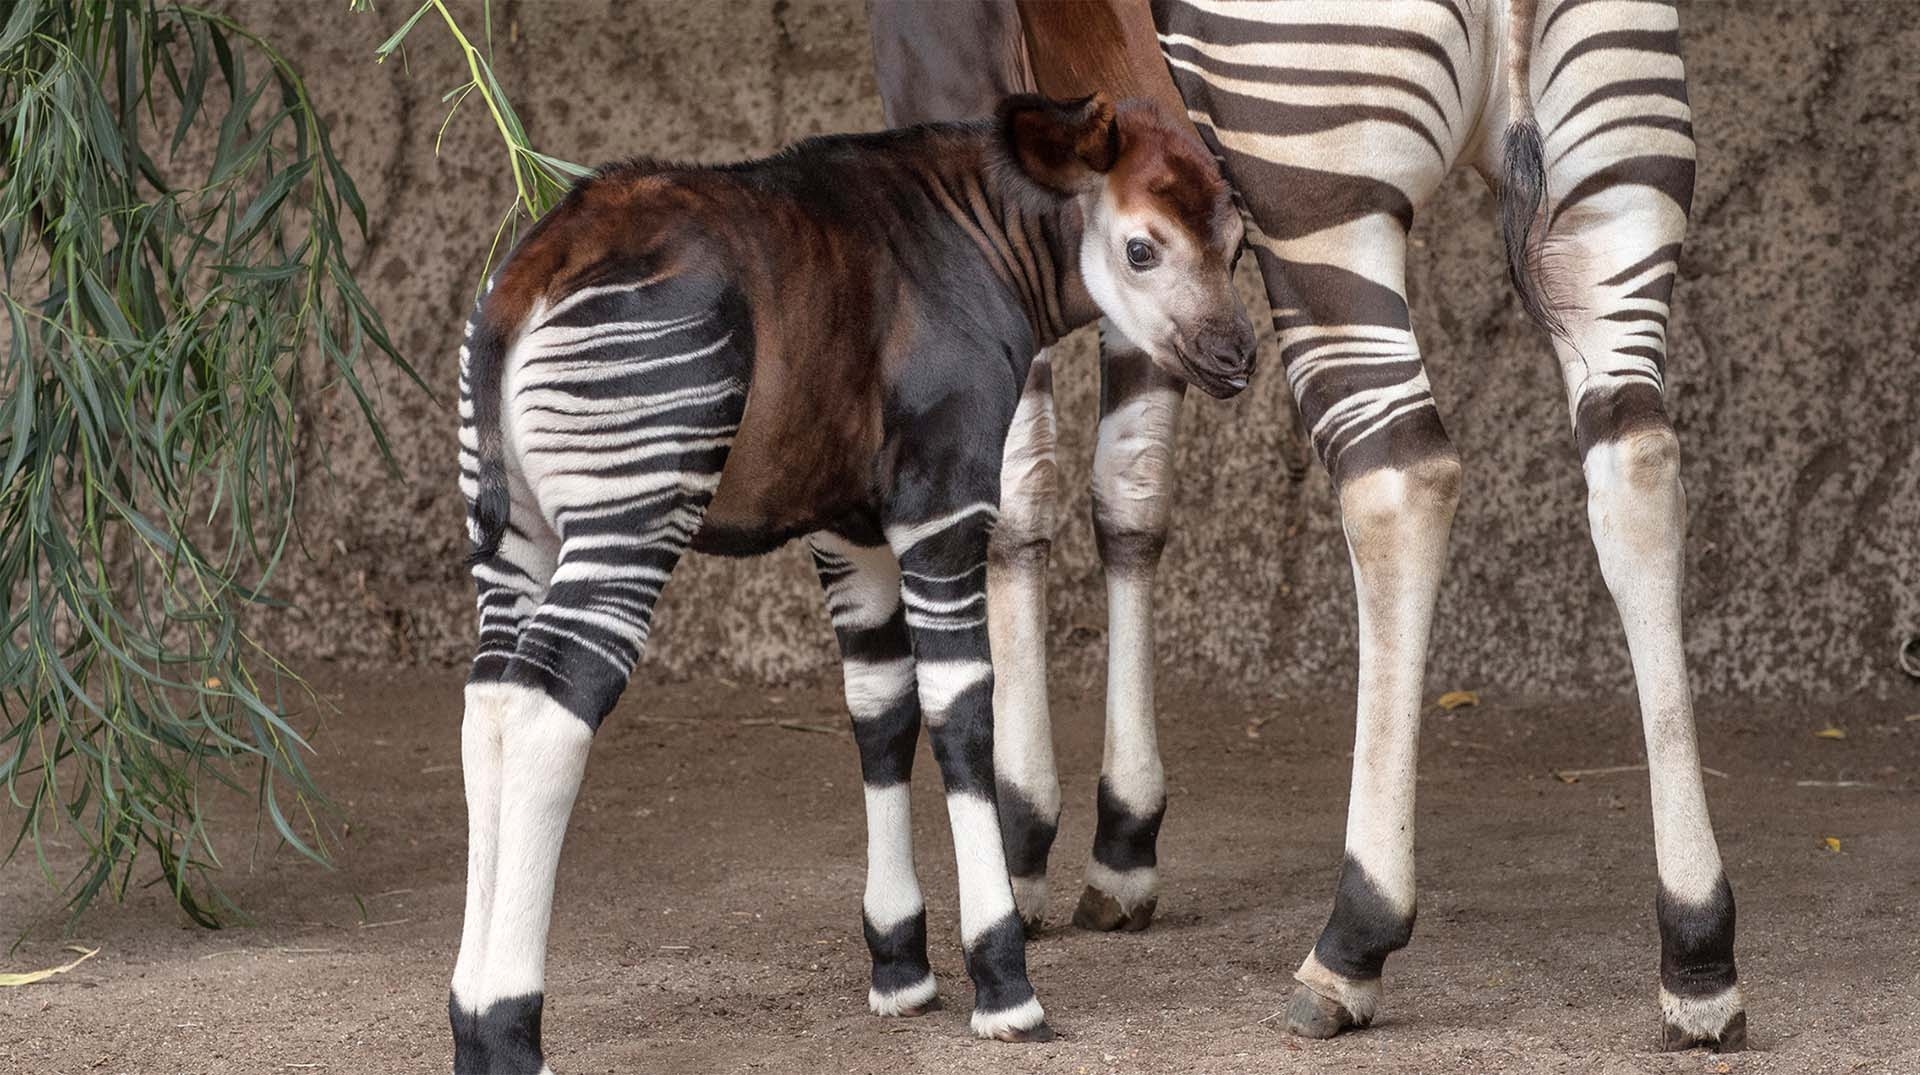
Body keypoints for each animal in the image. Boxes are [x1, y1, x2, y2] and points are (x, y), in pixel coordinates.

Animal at [449, 96, 1259, 1067]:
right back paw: (509, 1028)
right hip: (632, 507)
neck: (981, 232)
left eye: (1238, 247)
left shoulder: (852, 529)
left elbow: (880, 710)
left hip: (517, 539)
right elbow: (961, 712)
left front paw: (901, 969)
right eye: (1142, 248)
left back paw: (471, 1018)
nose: (1235, 356)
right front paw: (1004, 982)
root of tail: (530, 274)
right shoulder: (943, 502)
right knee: (550, 706)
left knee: (493, 704)